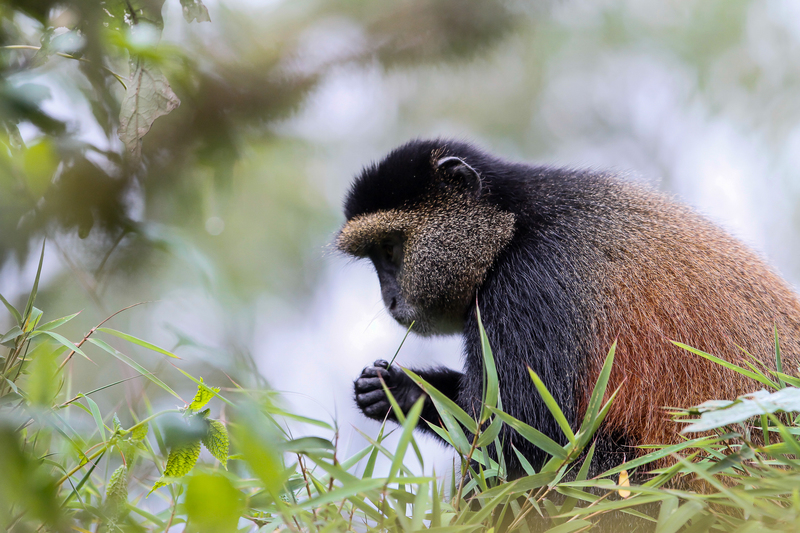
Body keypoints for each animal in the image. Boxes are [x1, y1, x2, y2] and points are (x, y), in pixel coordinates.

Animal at [336, 138, 800, 479]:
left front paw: (409, 393)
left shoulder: (526, 286)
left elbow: (521, 438)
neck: (512, 223)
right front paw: (397, 389)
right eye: (377, 256)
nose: (391, 299)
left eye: (391, 250)